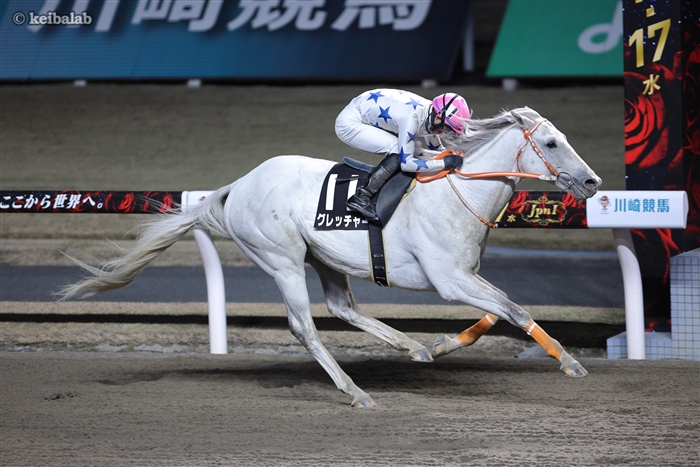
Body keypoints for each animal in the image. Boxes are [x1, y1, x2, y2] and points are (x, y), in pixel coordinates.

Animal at [59, 107, 601, 408]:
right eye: (551, 142)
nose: (593, 181)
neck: (456, 192)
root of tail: (238, 185)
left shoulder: (466, 275)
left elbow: (498, 311)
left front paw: (444, 343)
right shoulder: (449, 279)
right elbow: (515, 308)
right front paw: (570, 362)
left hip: (322, 257)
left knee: (344, 309)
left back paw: (412, 347)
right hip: (281, 258)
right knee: (306, 327)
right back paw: (356, 391)